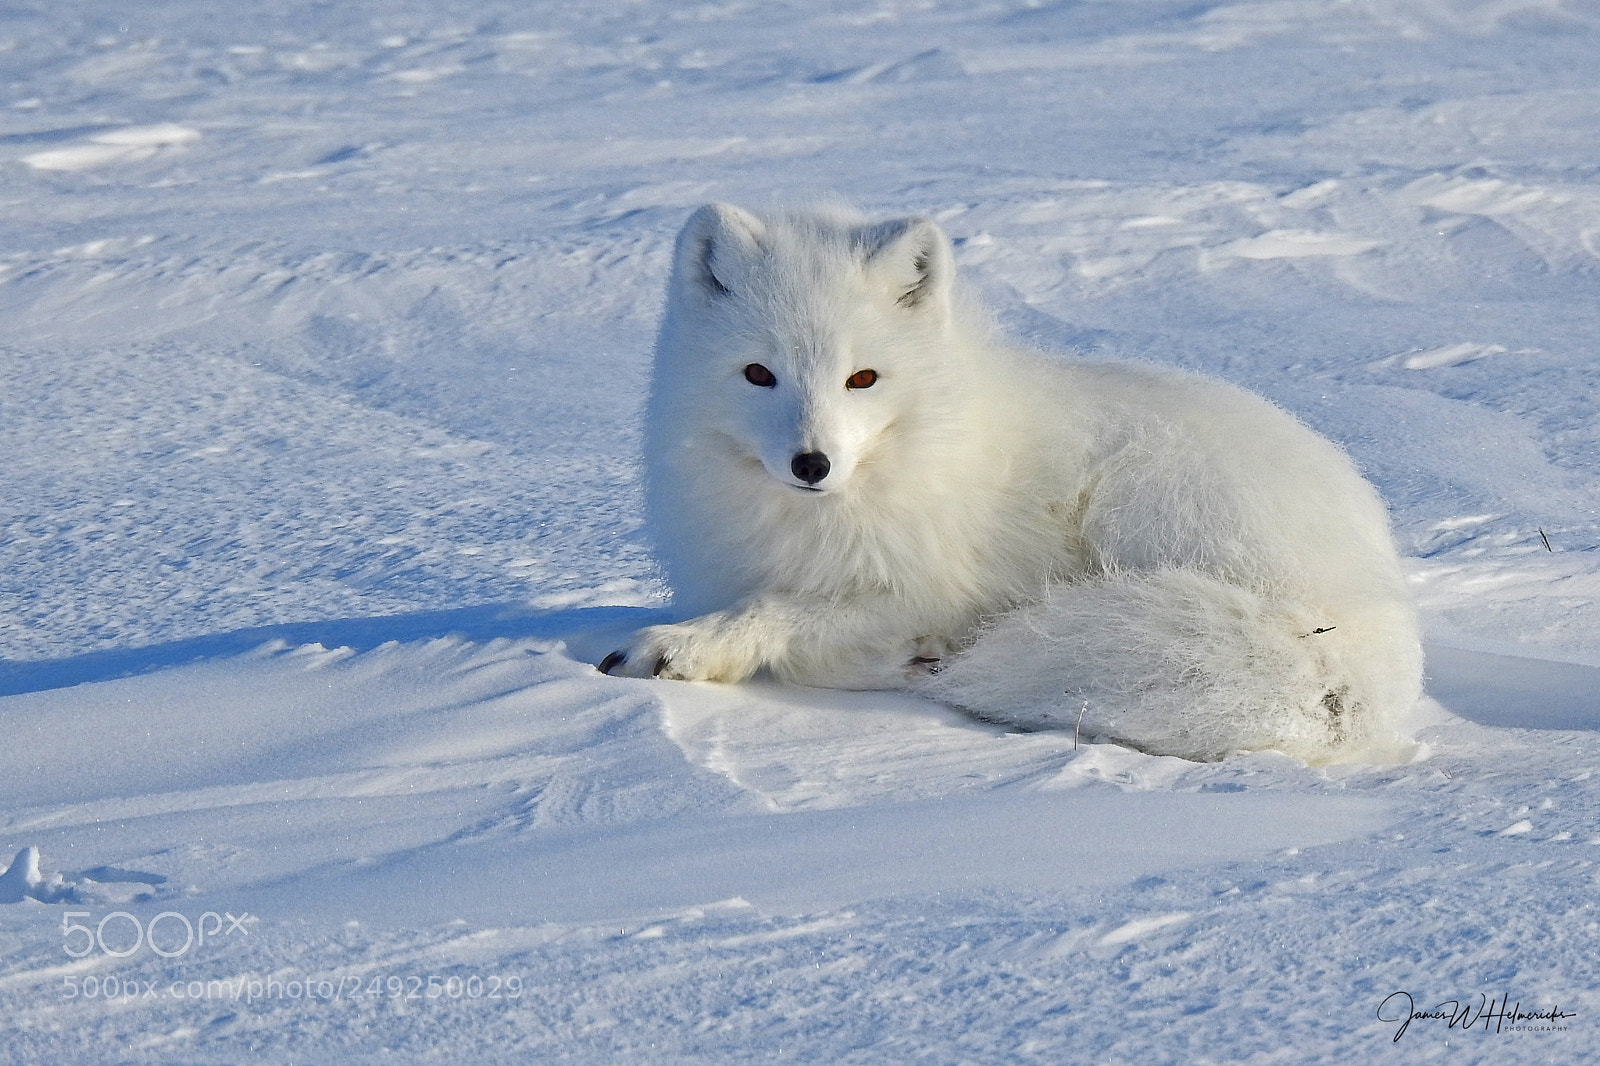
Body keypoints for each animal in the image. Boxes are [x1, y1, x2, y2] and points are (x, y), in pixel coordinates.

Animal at [599, 202, 1423, 763]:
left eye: (862, 378)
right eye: (758, 374)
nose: (812, 464)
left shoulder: (926, 589)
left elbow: (779, 611)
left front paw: (682, 646)